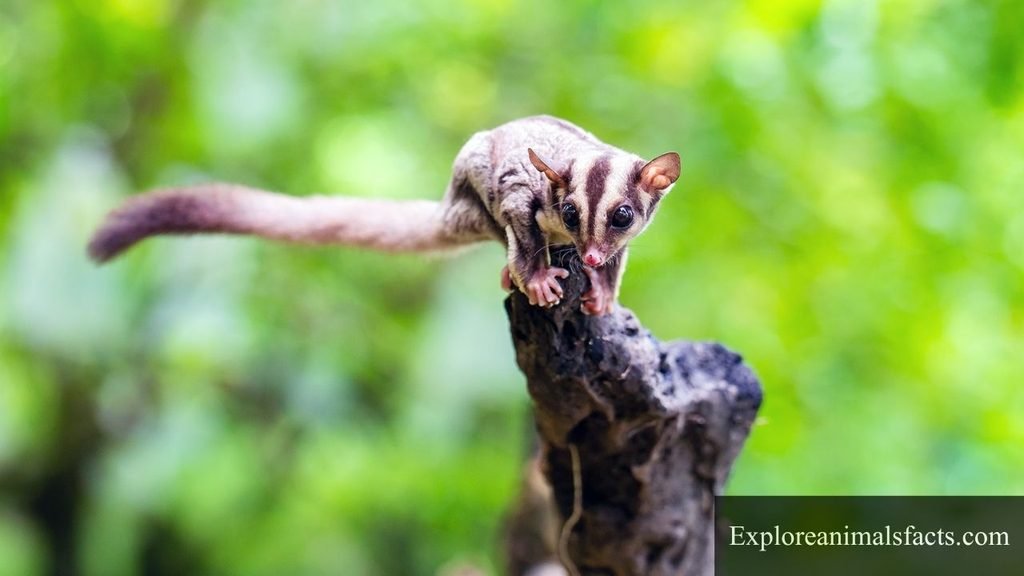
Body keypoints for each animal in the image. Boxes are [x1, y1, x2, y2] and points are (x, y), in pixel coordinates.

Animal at [88, 115, 680, 316]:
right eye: (570, 210)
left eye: (623, 215)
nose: (590, 255)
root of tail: (449, 208)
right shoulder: (522, 193)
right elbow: (521, 218)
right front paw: (536, 279)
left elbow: (619, 263)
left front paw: (602, 295)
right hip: (473, 191)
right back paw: (512, 272)